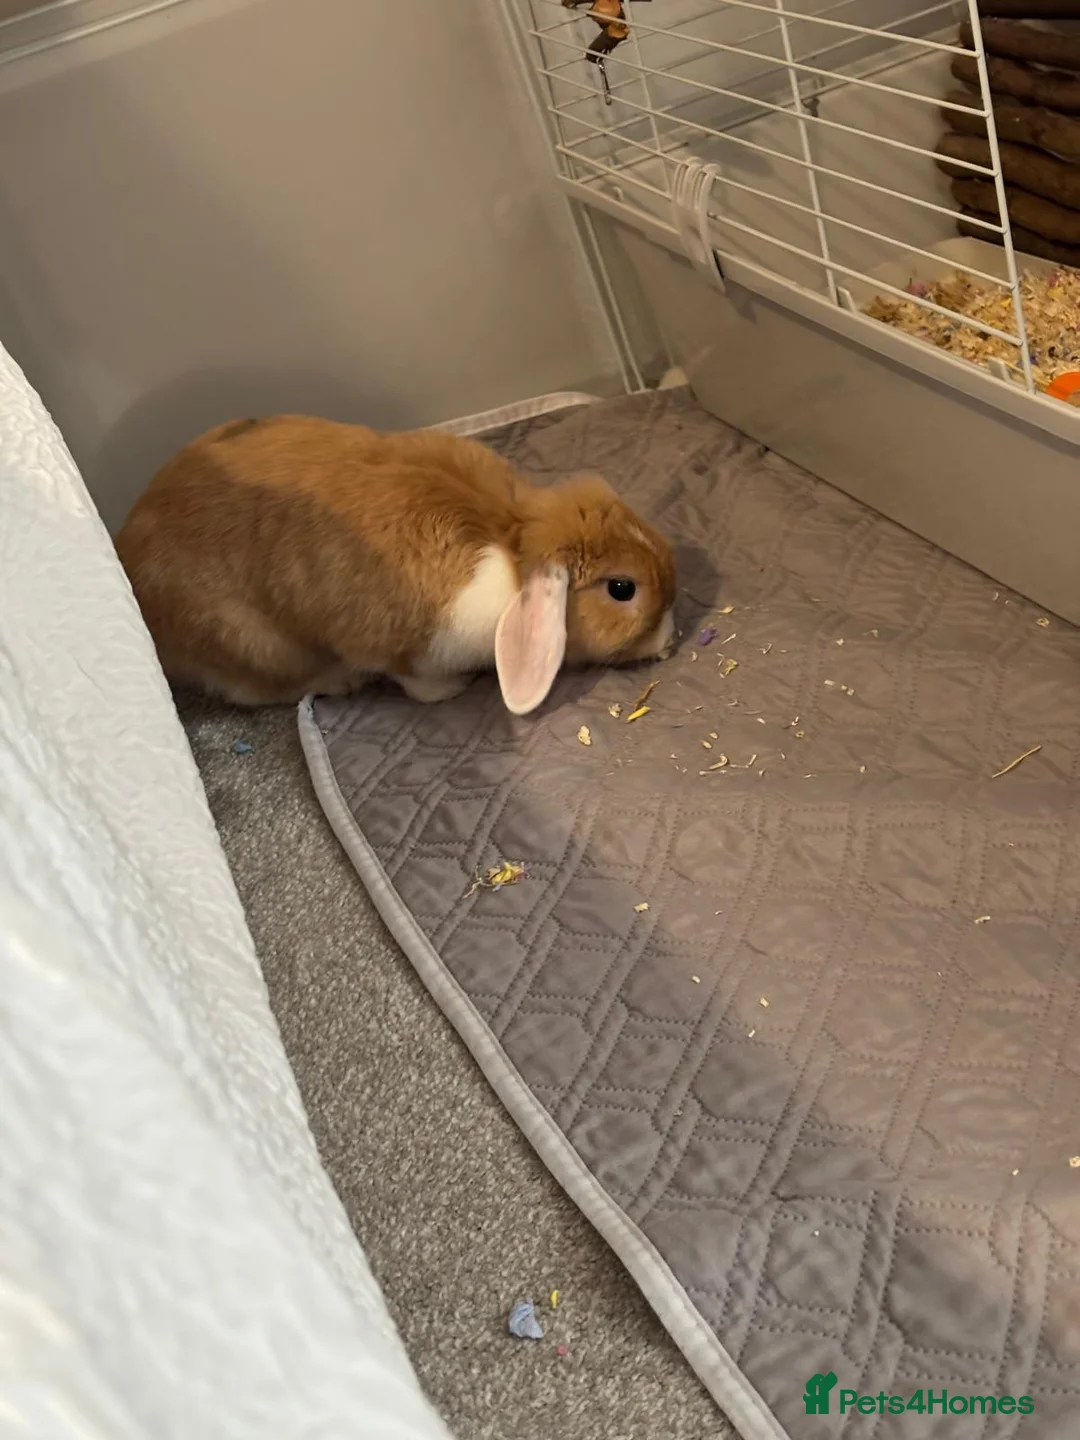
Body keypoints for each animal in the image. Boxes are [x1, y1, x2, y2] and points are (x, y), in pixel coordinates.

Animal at [114, 414, 677, 714]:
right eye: (622, 588)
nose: (669, 640)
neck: (512, 541)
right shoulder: (407, 648)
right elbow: (416, 683)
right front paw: (452, 691)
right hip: (254, 646)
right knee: (260, 689)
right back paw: (339, 682)